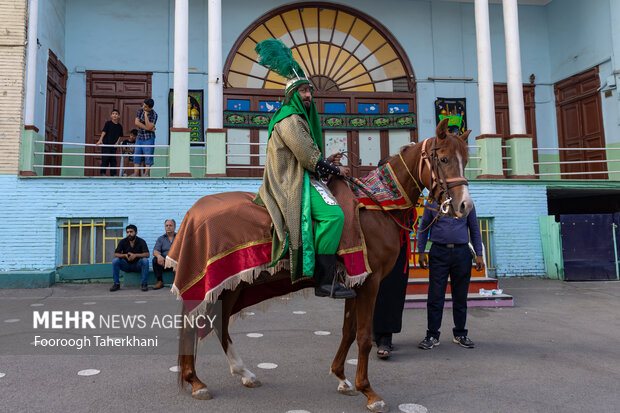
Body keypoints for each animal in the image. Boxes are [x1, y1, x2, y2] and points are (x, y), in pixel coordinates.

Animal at [173, 117, 470, 410]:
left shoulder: (354, 283)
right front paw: (369, 391)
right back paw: (196, 381)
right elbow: (364, 336)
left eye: (466, 159)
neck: (378, 207)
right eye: (444, 159)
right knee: (195, 323)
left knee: (217, 323)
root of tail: (193, 213)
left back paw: (241, 373)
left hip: (233, 284)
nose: (464, 206)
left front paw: (342, 377)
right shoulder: (370, 281)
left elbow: (348, 331)